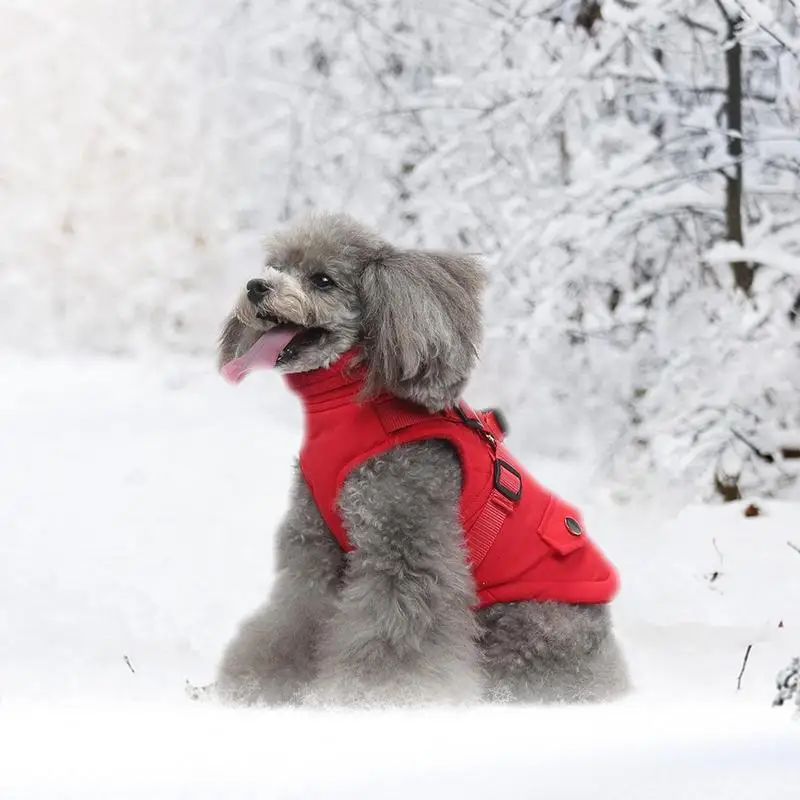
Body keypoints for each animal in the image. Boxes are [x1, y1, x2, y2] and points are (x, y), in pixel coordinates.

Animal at [216, 212, 628, 708]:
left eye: (323, 280)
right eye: (276, 267)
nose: (256, 285)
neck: (351, 405)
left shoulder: (405, 547)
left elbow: (395, 639)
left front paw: (372, 699)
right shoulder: (316, 547)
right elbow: (294, 615)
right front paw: (258, 686)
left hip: (529, 625)